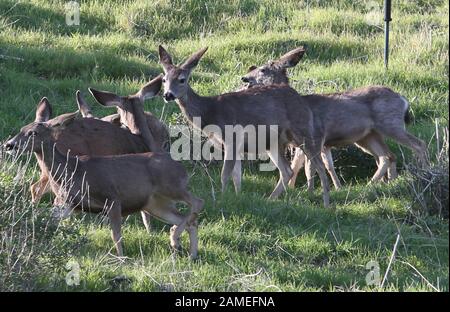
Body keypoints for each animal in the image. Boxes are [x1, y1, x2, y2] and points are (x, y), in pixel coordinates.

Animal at [3, 98, 204, 258]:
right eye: (22, 128)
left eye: (33, 133)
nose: (9, 144)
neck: (71, 170)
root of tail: (182, 170)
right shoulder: (68, 204)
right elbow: (47, 221)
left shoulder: (112, 198)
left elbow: (116, 235)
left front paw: (121, 259)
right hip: (155, 203)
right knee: (186, 220)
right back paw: (189, 252)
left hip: (171, 186)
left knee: (197, 202)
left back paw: (175, 239)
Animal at [157, 44, 330, 207]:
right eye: (164, 80)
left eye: (182, 79)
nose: (168, 95)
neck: (210, 112)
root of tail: (302, 100)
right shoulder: (233, 145)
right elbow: (237, 176)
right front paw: (237, 196)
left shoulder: (232, 136)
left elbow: (225, 174)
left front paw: (221, 198)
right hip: (273, 142)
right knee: (287, 170)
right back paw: (270, 199)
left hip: (303, 131)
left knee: (320, 167)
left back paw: (326, 204)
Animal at [241, 46, 428, 190]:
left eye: (263, 69)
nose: (244, 78)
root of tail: (403, 100)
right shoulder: (314, 143)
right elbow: (304, 165)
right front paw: (297, 188)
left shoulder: (314, 137)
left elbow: (308, 166)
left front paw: (306, 190)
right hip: (368, 136)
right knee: (386, 156)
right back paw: (379, 184)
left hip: (390, 124)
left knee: (418, 144)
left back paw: (423, 174)